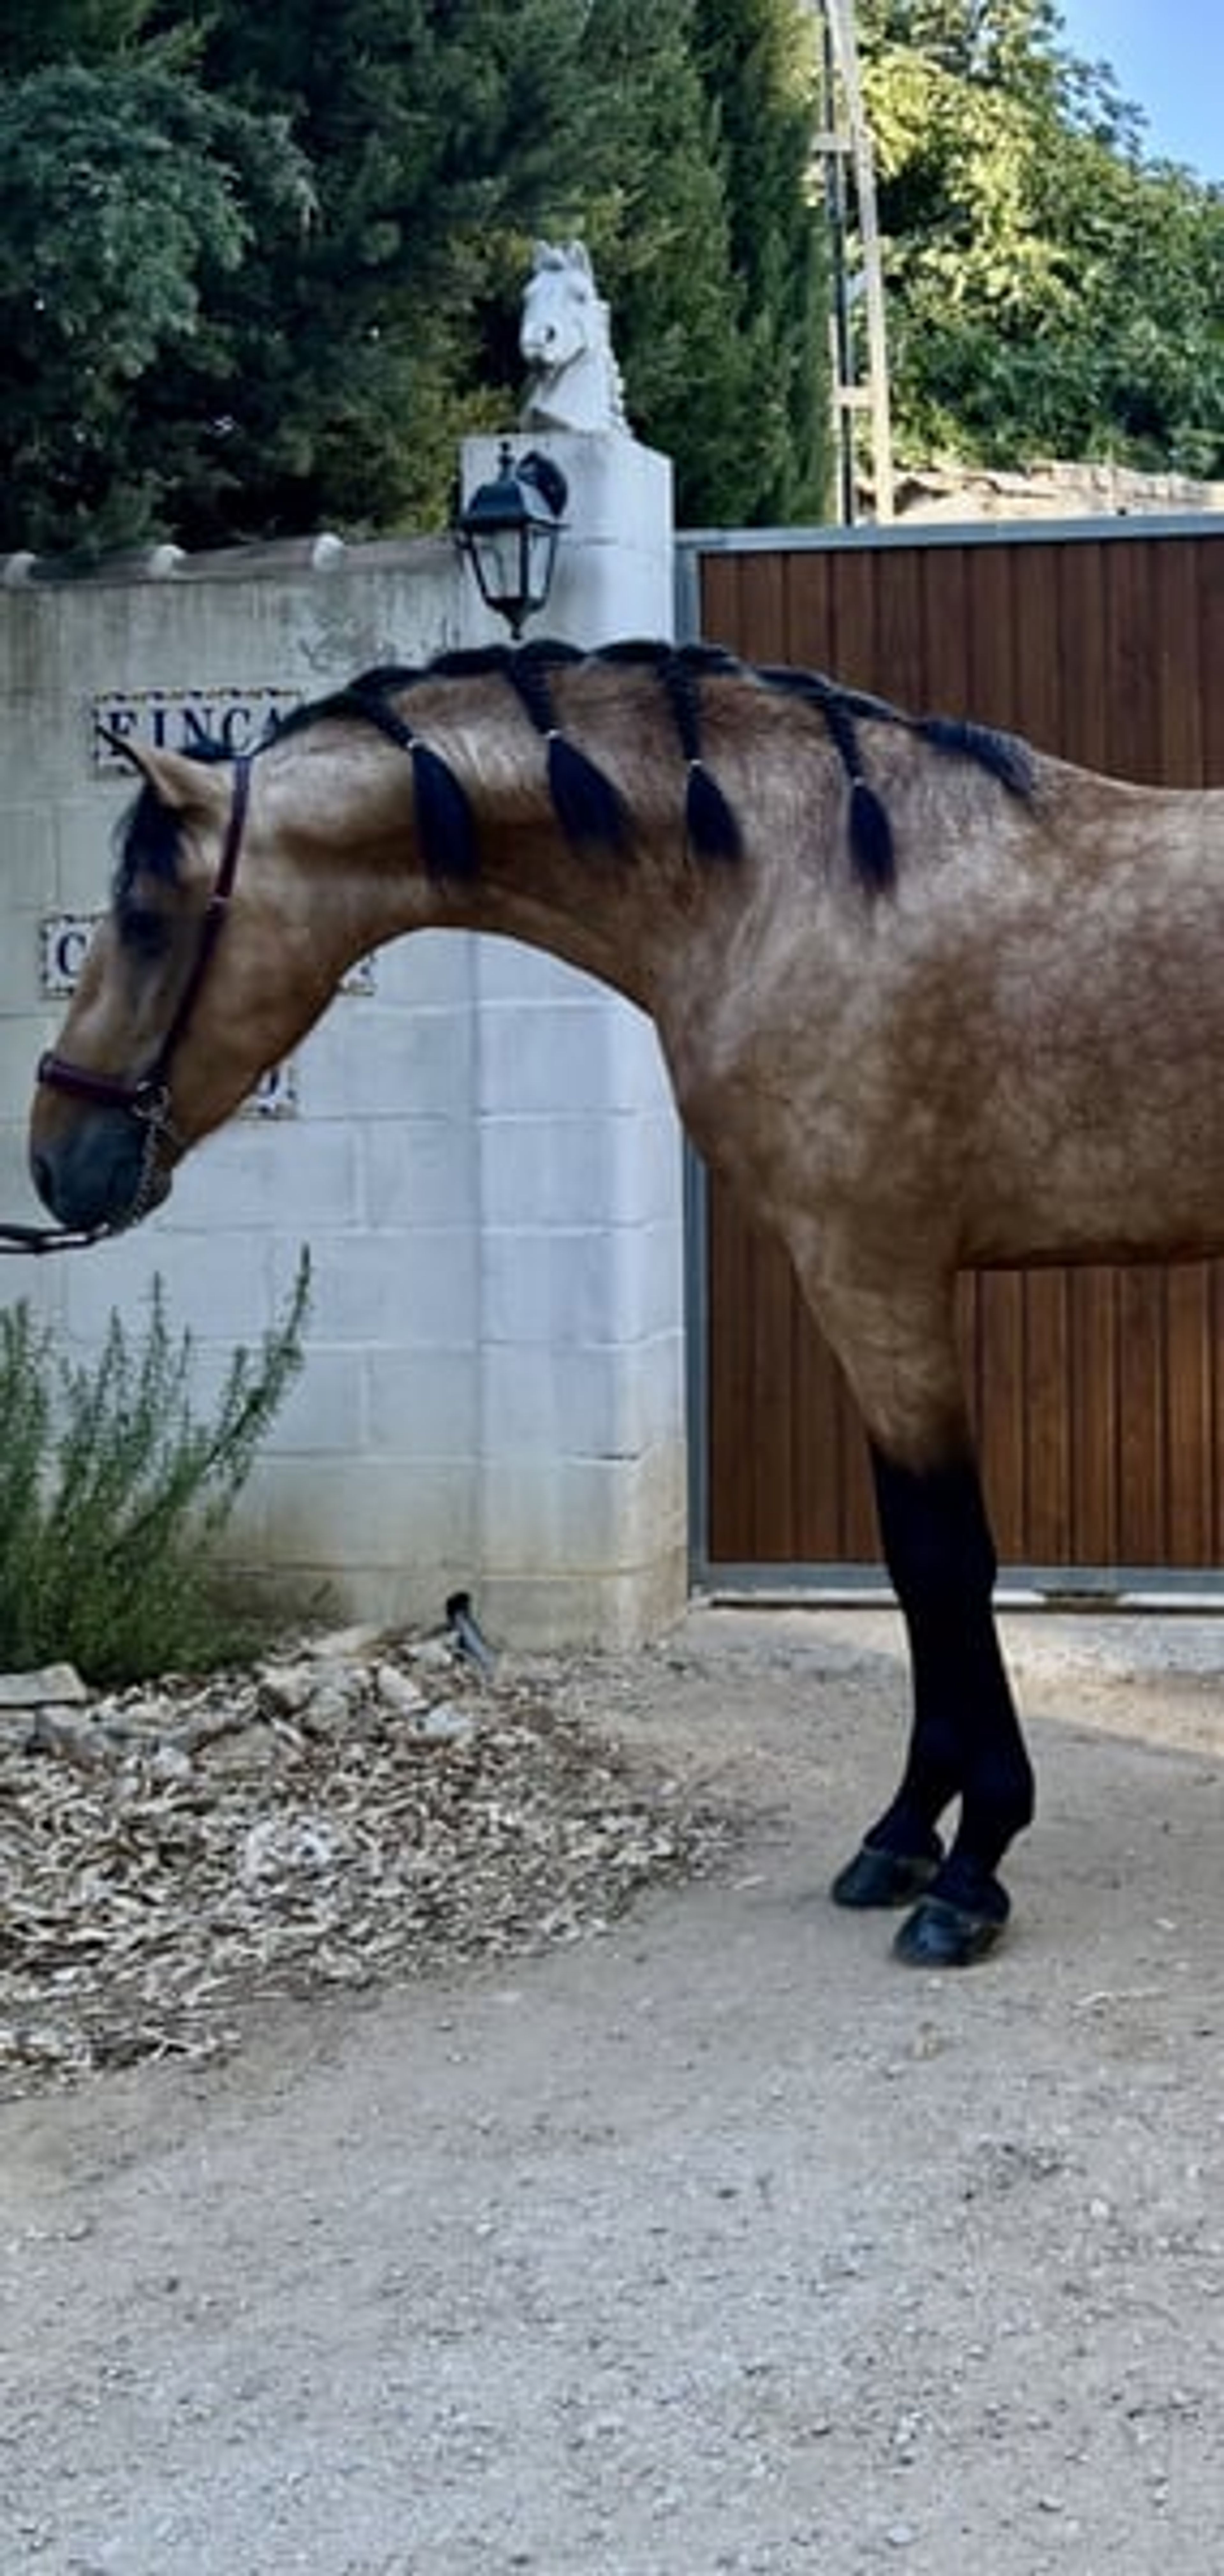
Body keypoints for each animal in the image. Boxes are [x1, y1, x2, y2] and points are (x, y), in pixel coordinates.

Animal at [27, 637, 1224, 1968]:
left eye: (145, 918)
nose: (56, 1159)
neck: (807, 890)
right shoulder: (868, 1287)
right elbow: (918, 1567)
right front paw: (908, 1831)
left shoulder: (876, 1275)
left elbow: (943, 1556)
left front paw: (970, 1867)